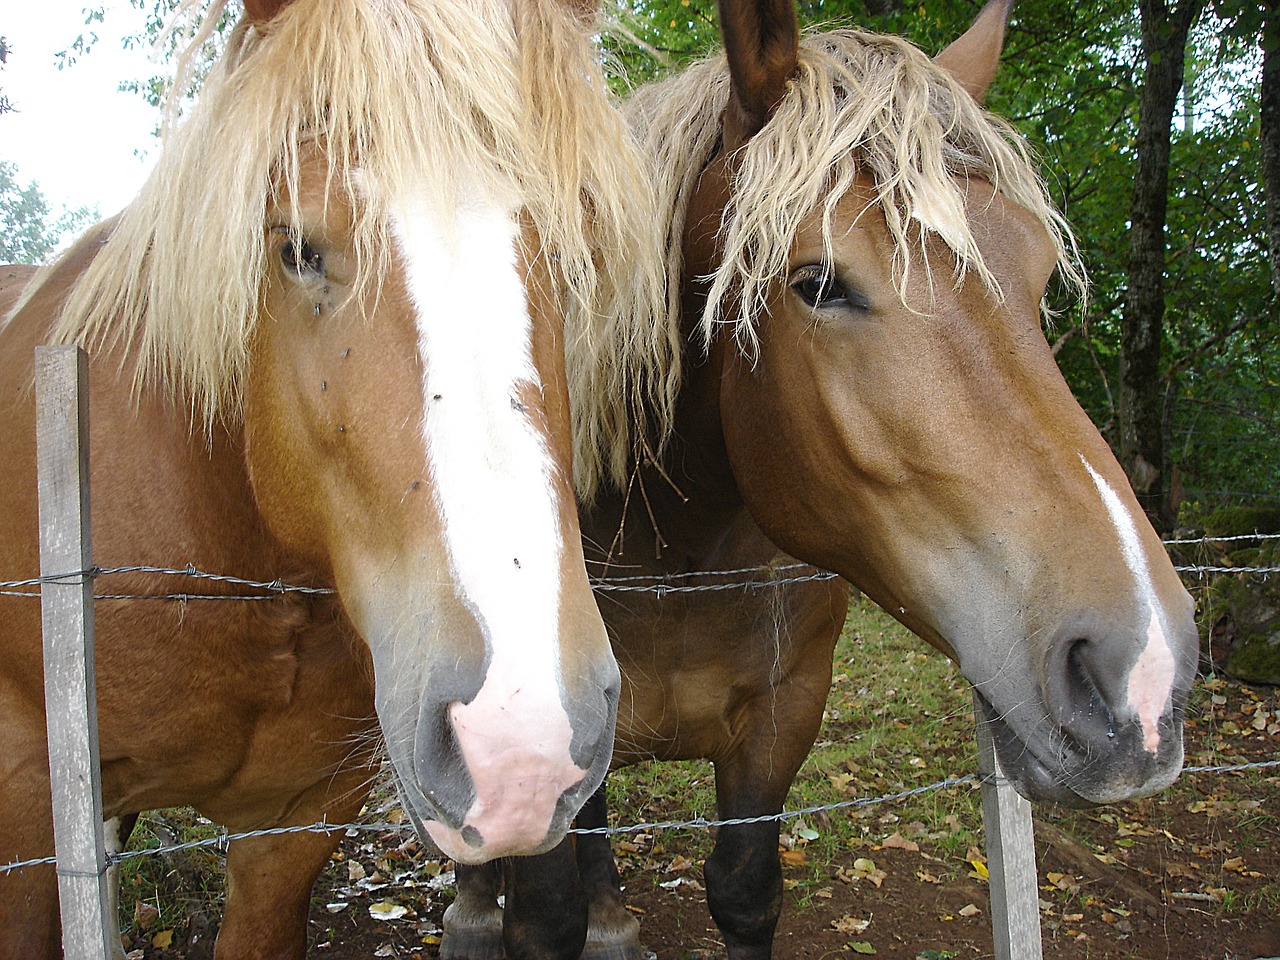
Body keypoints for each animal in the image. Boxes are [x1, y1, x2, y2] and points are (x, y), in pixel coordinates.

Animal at [442, 1, 1198, 960]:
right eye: (819, 282)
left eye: (1034, 279)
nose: (1143, 670)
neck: (673, 555)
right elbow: (542, 919)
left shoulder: (786, 713)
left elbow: (744, 891)